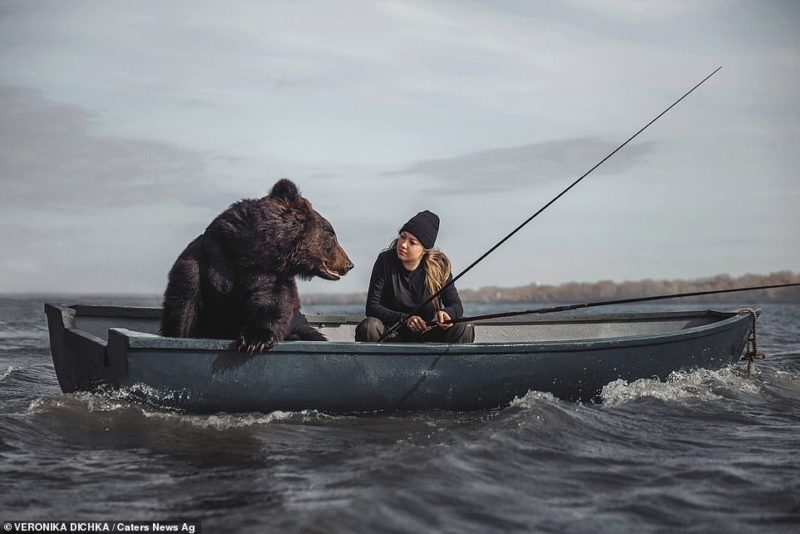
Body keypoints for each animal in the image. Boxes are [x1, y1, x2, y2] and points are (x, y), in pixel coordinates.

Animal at [159, 180, 354, 354]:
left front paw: (255, 339)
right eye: (331, 233)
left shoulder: (269, 273)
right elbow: (183, 309)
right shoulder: (206, 260)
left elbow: (270, 301)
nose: (349, 264)